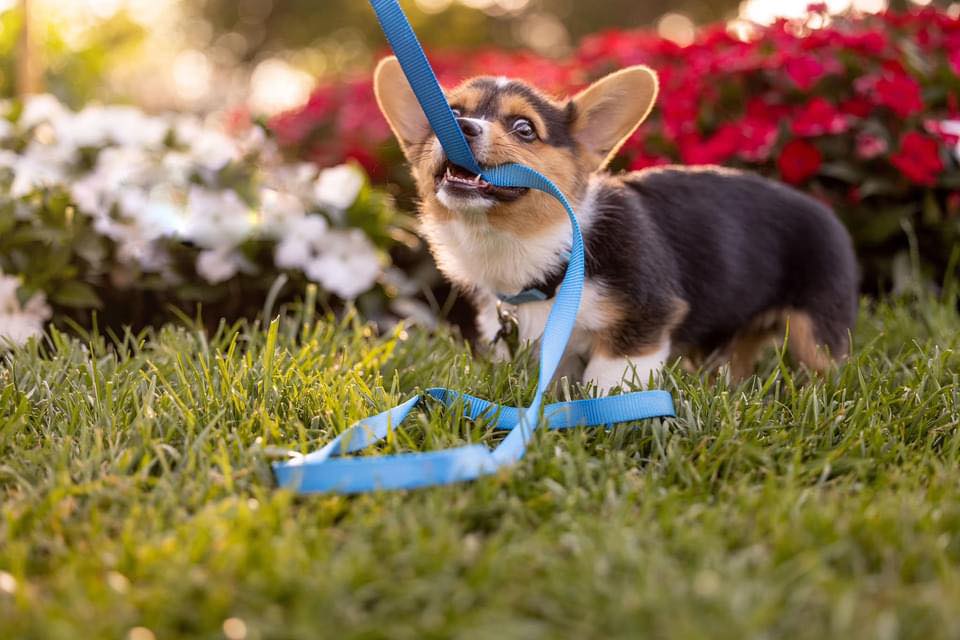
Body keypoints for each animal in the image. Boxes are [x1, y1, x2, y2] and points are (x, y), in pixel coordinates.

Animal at [372, 57, 860, 392]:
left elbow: (608, 382)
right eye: (449, 113)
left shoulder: (645, 320)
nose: (462, 127)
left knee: (824, 363)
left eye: (524, 128)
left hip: (816, 326)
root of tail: (823, 209)